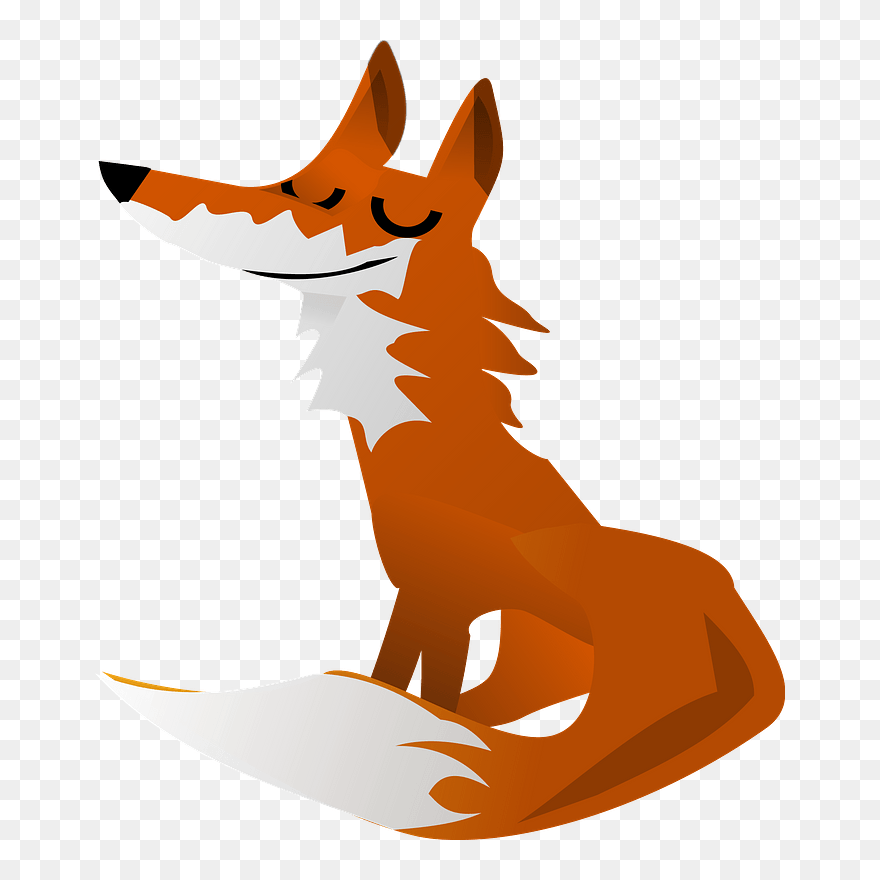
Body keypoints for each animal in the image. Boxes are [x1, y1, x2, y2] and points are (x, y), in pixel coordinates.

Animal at [99, 42, 785, 840]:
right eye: (293, 182)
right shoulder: (416, 595)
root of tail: (737, 626)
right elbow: (395, 682)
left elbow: (427, 696)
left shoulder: (449, 599)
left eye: (391, 217)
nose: (123, 174)